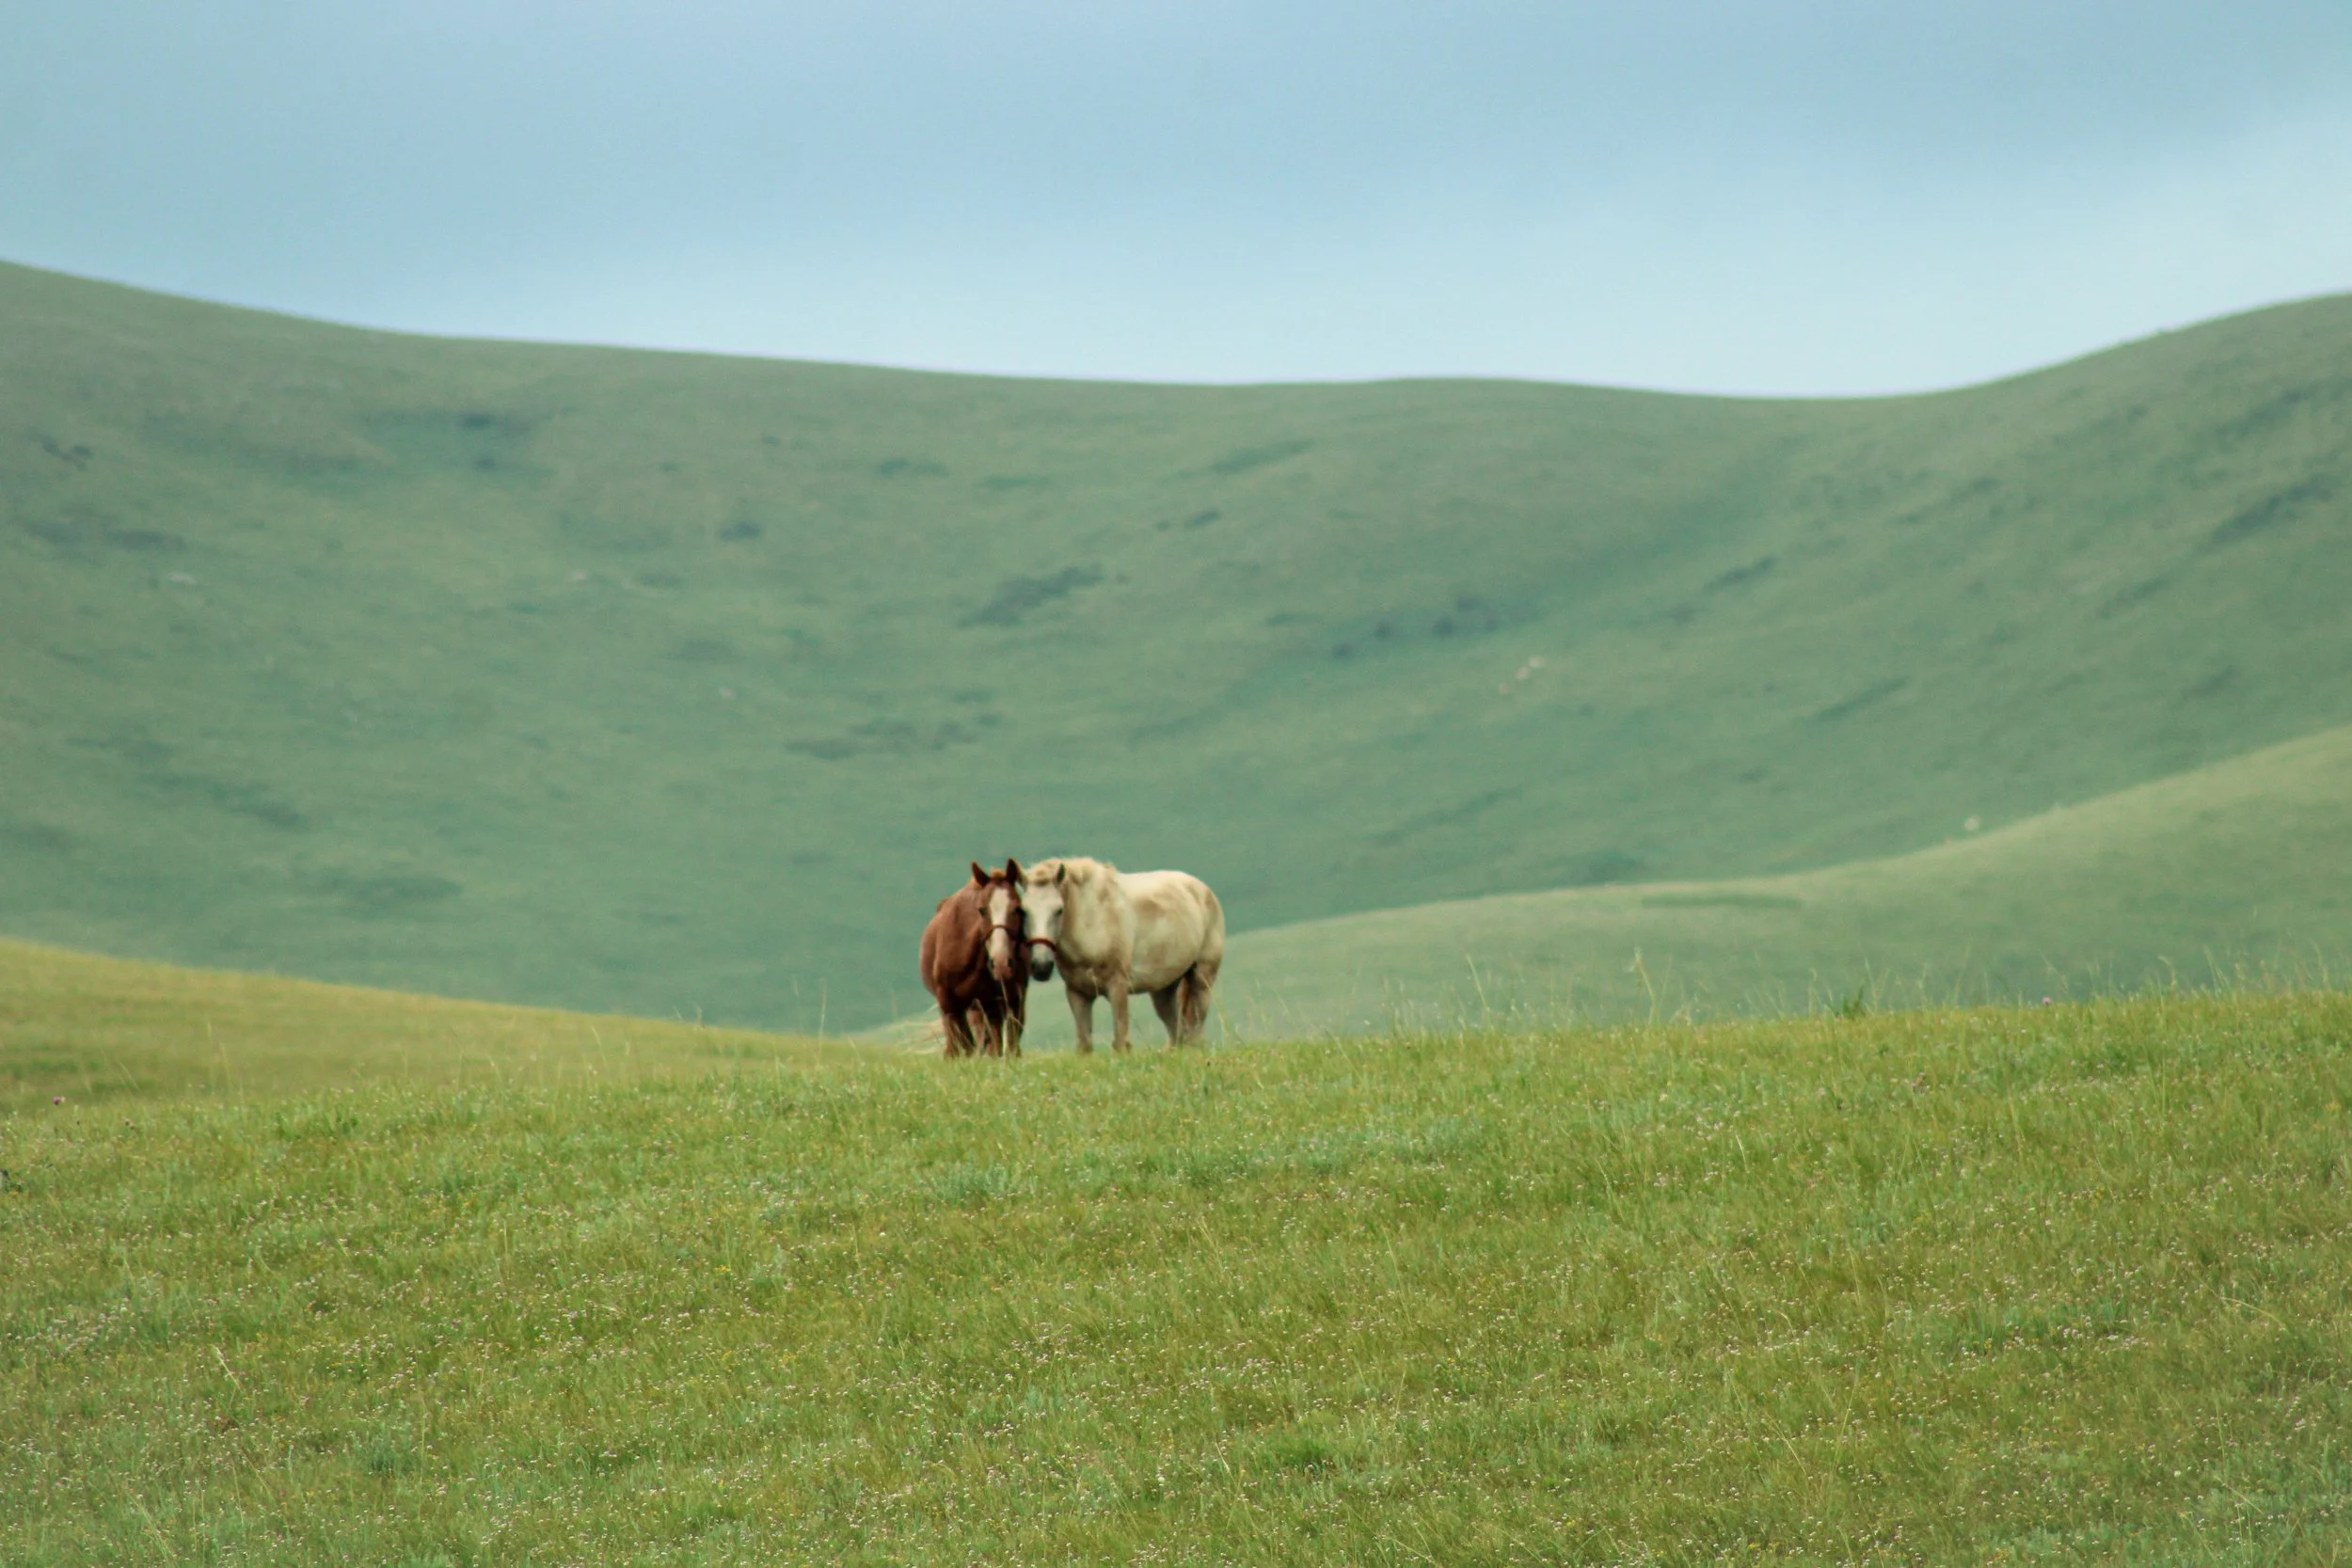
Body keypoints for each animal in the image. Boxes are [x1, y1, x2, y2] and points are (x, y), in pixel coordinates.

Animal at [918, 860, 1029, 1058]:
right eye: (982, 910)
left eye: (1018, 909)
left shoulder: (1008, 1003)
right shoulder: (950, 1004)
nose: (1001, 964)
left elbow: (1006, 1047)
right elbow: (963, 1047)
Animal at [1020, 857, 1223, 1052]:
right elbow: (1084, 1046)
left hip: (1202, 981)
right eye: (1023, 911)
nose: (1041, 967)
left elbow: (1120, 1042)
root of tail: (1203, 890)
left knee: (1195, 1031)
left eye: (1059, 910)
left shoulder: (1117, 987)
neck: (1093, 921)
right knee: (1177, 1035)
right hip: (1164, 990)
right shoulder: (1077, 993)